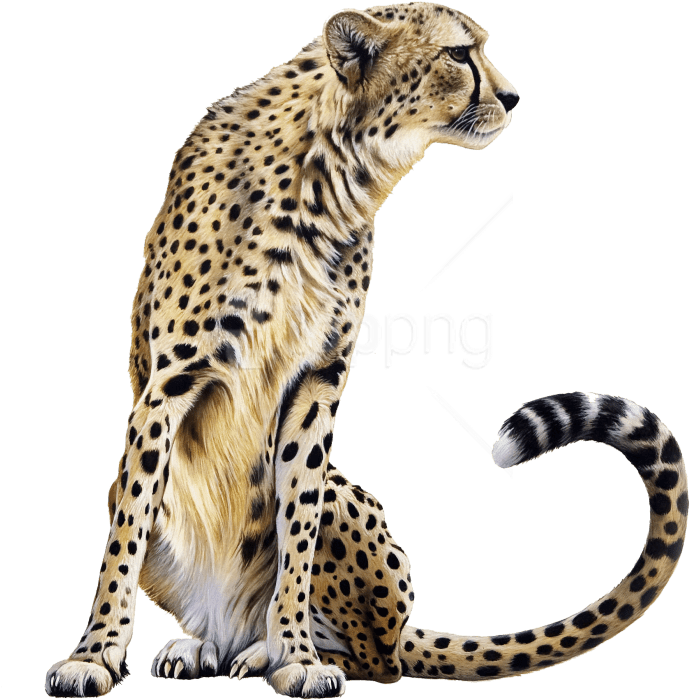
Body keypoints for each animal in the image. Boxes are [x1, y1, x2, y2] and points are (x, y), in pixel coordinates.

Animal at [44, 2, 684, 697]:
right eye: (459, 54)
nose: (513, 97)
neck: (330, 173)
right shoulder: (169, 384)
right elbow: (126, 535)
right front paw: (95, 653)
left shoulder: (317, 381)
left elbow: (297, 524)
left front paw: (296, 654)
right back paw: (202, 647)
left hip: (354, 528)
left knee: (383, 659)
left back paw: (267, 652)